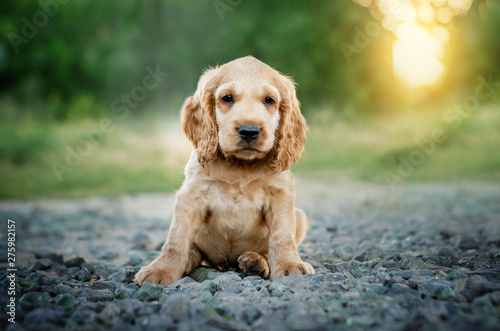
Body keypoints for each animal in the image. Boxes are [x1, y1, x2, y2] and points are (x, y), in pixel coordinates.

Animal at [133, 55, 312, 286]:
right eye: (227, 98)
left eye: (269, 100)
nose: (249, 131)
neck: (241, 165)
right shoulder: (190, 196)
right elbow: (176, 240)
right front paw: (161, 270)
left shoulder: (280, 195)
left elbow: (282, 235)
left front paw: (290, 265)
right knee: (194, 252)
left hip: (300, 216)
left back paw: (255, 262)